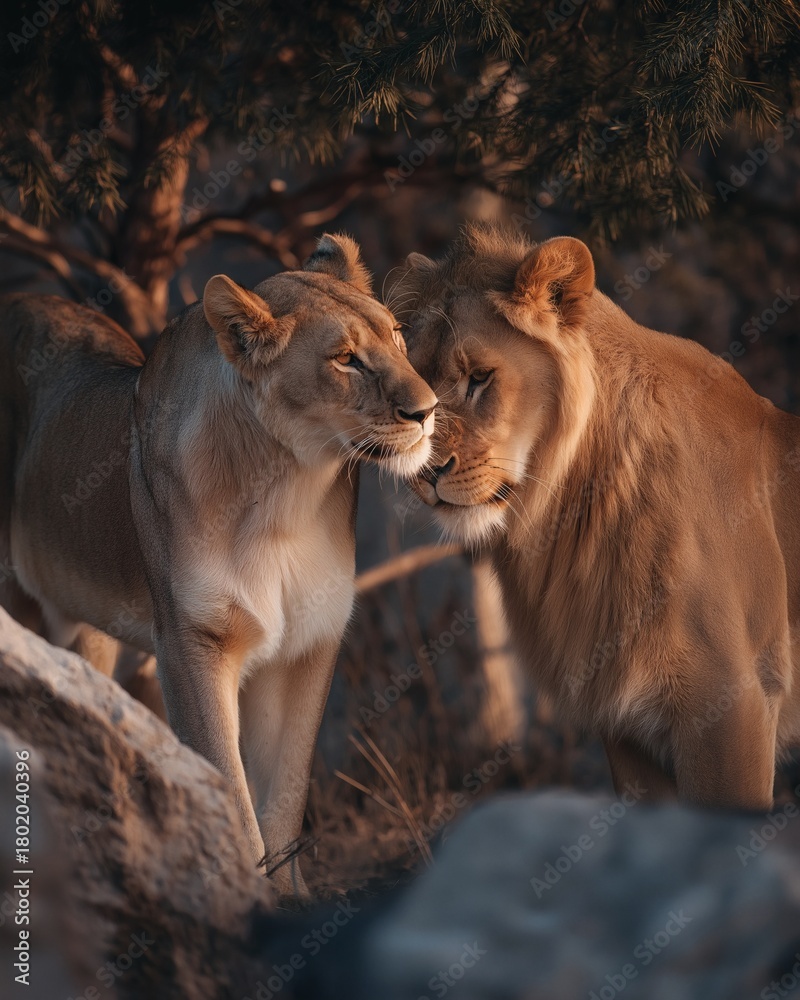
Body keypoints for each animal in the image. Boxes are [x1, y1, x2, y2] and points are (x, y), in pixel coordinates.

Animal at [0, 233, 437, 896]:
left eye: (397, 337)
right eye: (345, 359)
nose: (429, 410)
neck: (288, 495)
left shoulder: (306, 646)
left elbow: (284, 793)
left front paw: (289, 898)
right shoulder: (193, 642)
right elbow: (228, 786)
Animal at [394, 223, 800, 810]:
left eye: (480, 377)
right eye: (417, 383)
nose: (424, 471)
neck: (573, 511)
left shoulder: (734, 707)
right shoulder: (628, 727)